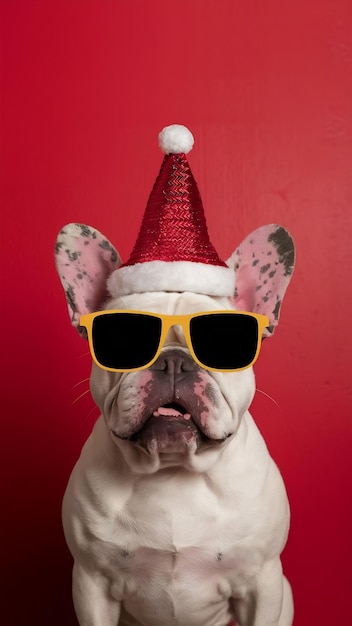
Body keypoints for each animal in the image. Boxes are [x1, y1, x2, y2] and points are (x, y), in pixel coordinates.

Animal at [55, 221, 294, 624]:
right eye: (122, 341)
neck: (172, 470)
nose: (173, 361)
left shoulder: (262, 581)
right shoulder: (91, 582)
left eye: (224, 344)